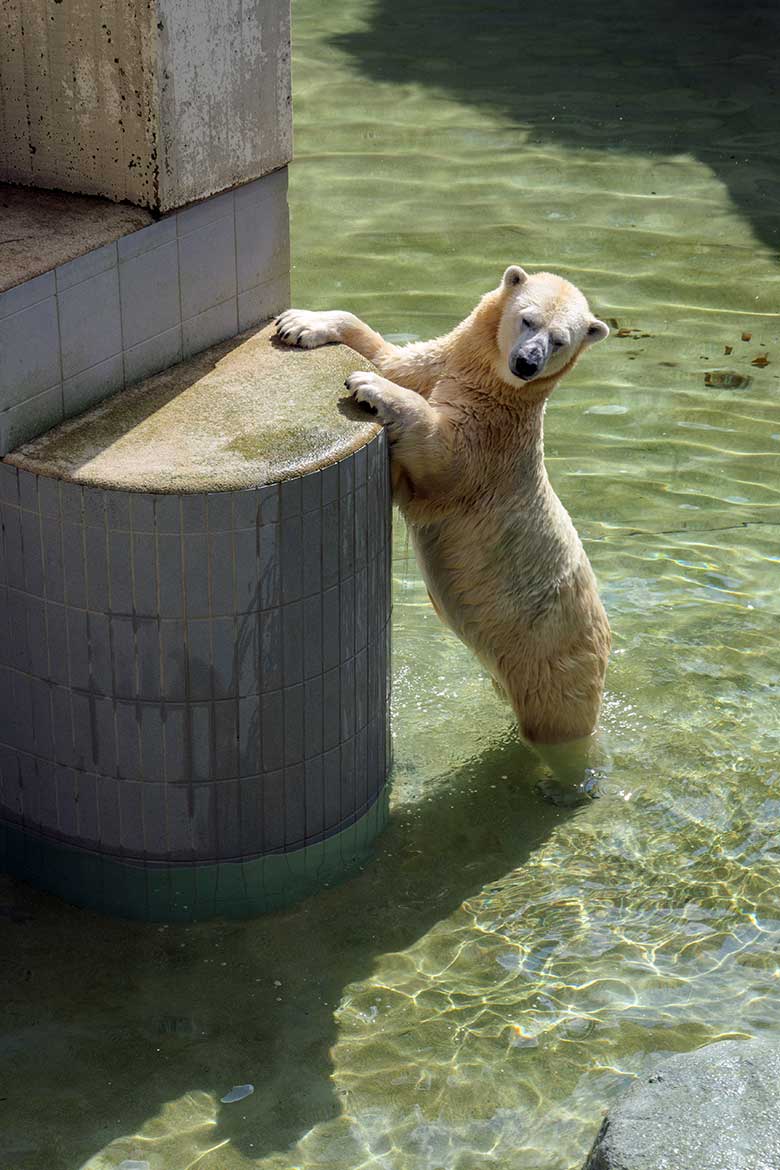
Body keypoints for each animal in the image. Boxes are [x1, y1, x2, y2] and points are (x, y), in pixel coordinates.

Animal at [277, 267, 612, 786]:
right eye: (526, 318)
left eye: (560, 340)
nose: (527, 363)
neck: (499, 388)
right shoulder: (444, 364)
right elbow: (395, 358)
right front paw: (302, 323)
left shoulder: (488, 444)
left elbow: (444, 456)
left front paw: (369, 386)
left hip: (555, 654)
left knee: (560, 729)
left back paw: (565, 783)